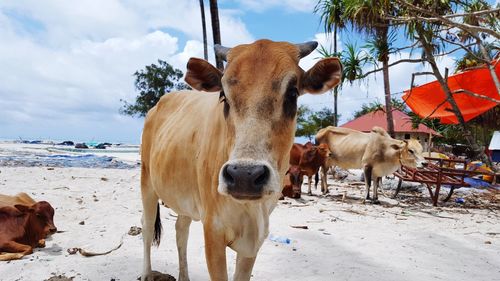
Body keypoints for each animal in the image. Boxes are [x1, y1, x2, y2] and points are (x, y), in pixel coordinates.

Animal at [142, 39, 344, 280]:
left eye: (293, 93)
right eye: (223, 95)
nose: (244, 176)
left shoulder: (254, 240)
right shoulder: (213, 232)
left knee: (181, 231)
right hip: (147, 183)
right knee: (147, 228)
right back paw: (145, 273)